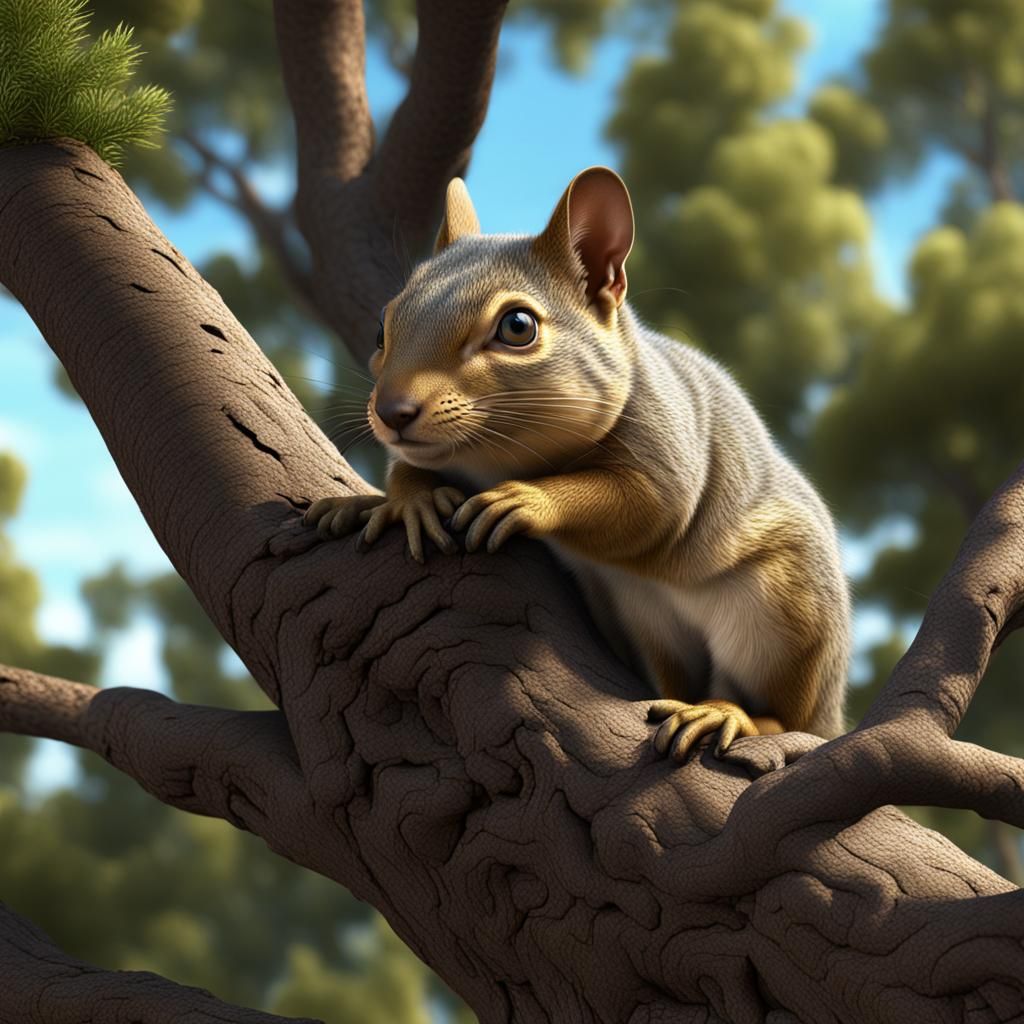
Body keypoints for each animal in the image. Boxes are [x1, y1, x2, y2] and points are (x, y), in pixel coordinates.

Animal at [305, 167, 851, 761]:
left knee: (786, 713)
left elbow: (647, 506)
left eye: (517, 327)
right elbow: (407, 467)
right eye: (383, 327)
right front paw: (407, 501)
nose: (391, 412)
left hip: (785, 611)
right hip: (647, 624)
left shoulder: (667, 442)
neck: (493, 457)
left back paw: (730, 715)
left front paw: (525, 499)